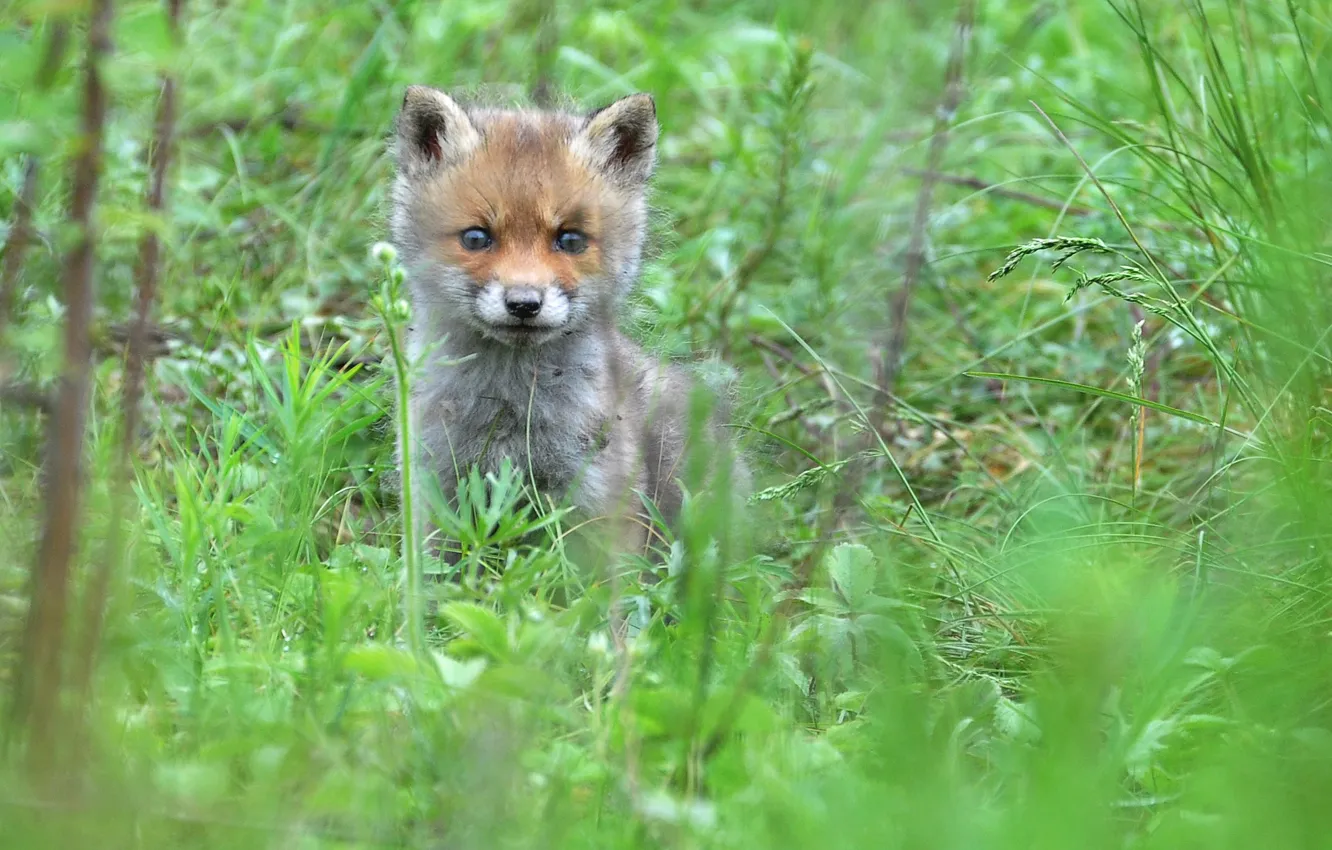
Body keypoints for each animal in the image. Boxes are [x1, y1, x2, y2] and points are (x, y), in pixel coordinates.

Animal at [387, 85, 746, 570]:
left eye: (570, 240)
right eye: (477, 238)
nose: (524, 303)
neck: (508, 412)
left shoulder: (599, 498)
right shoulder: (435, 483)